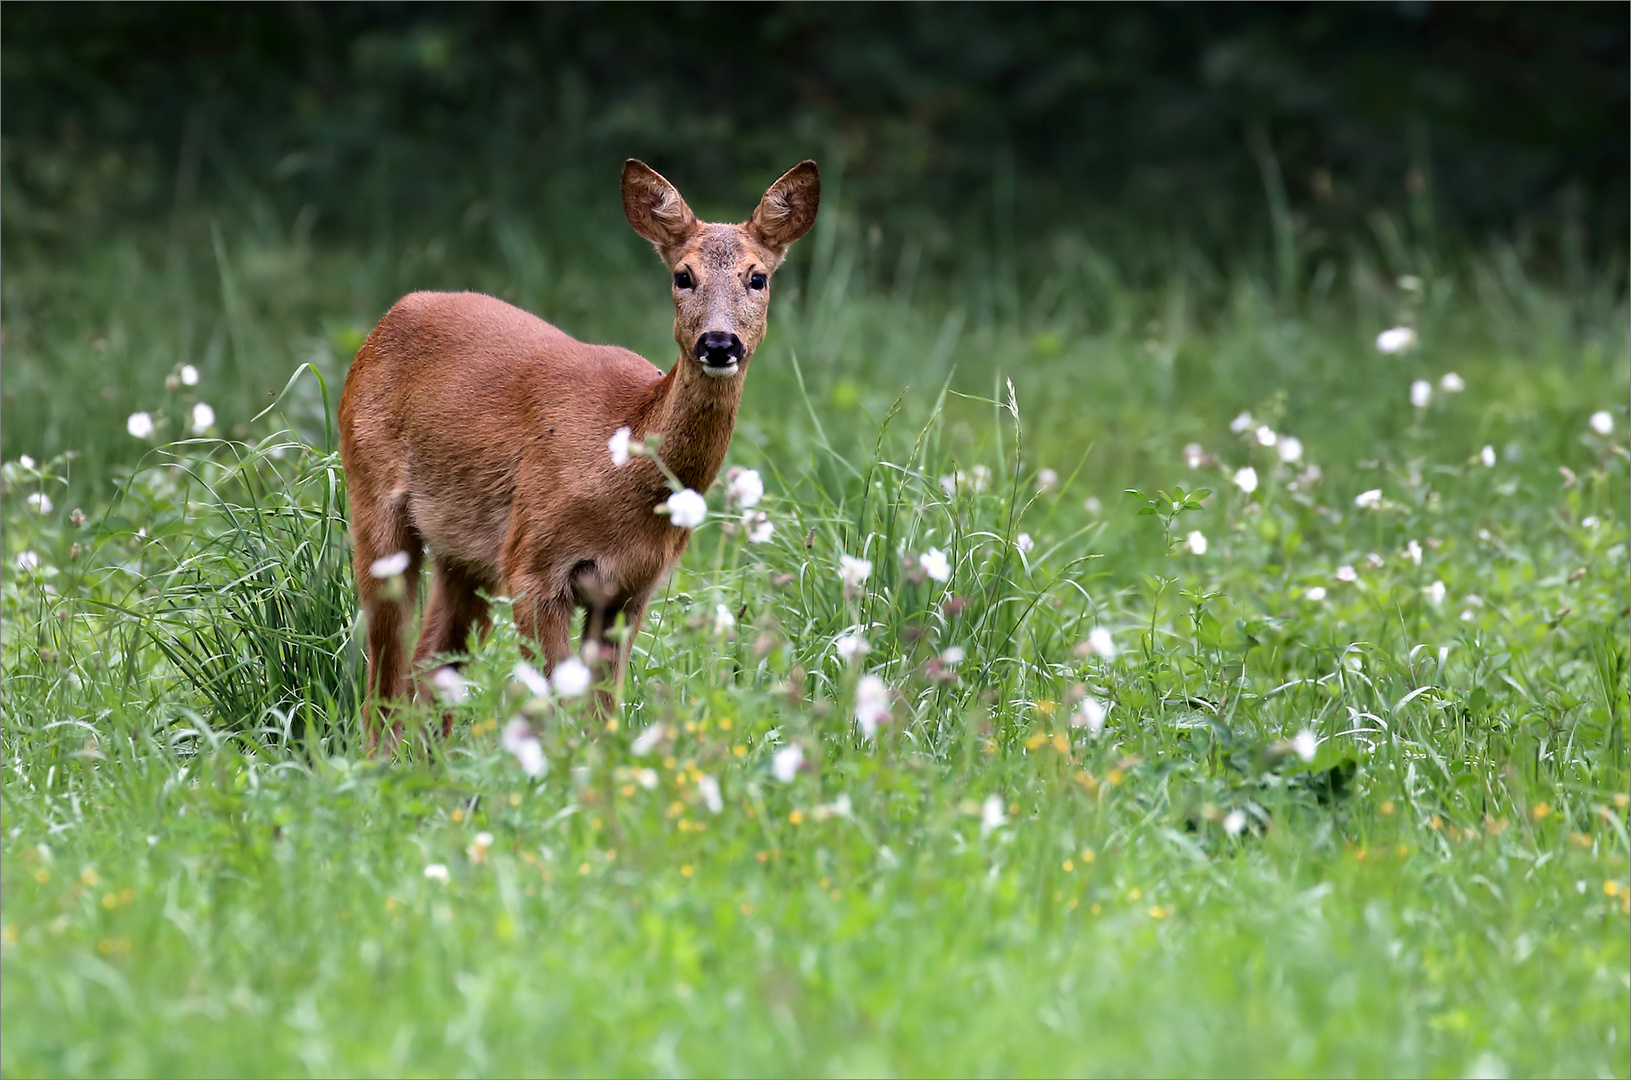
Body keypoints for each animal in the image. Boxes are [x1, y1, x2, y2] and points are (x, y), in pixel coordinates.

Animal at [334, 160, 815, 753]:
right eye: (683, 275)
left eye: (758, 277)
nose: (719, 343)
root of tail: (388, 318)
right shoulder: (533, 564)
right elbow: (556, 702)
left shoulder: (630, 590)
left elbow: (601, 711)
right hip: (372, 497)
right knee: (387, 664)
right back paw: (380, 760)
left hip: (464, 551)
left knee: (433, 661)